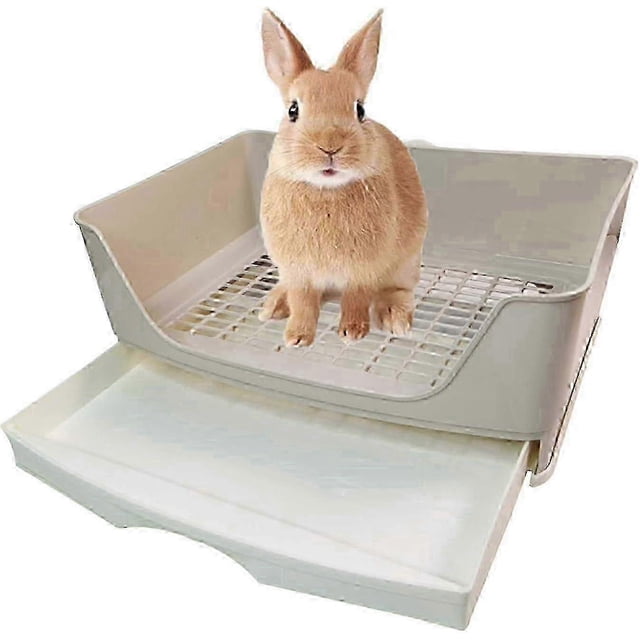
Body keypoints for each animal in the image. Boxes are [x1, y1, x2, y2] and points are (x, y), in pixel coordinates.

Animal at [259, 9, 428, 347]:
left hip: (406, 264)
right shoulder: (298, 274)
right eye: (293, 110)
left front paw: (352, 332)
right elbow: (303, 303)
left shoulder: (362, 272)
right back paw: (274, 305)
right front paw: (296, 337)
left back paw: (395, 318)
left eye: (360, 110)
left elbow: (356, 299)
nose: (330, 146)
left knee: (396, 290)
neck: (325, 190)